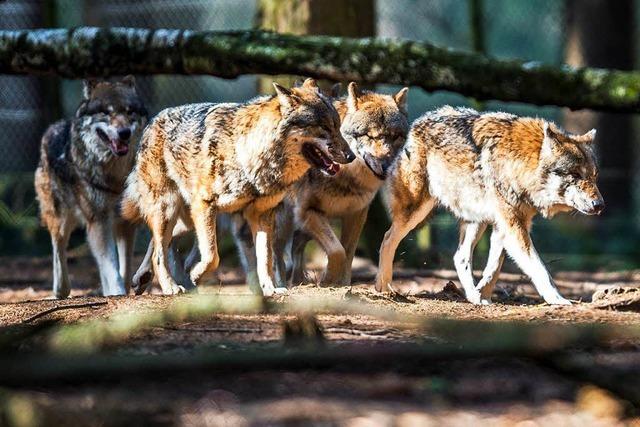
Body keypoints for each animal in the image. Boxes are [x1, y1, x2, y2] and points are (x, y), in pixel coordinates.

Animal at [122, 77, 352, 298]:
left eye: (338, 125)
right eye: (324, 127)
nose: (351, 156)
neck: (249, 154)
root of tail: (153, 121)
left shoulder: (261, 214)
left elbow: (265, 259)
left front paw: (270, 289)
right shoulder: (205, 205)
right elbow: (212, 256)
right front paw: (196, 275)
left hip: (186, 219)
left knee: (159, 242)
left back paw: (143, 277)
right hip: (170, 210)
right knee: (159, 251)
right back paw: (169, 286)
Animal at [372, 108, 604, 308]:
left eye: (594, 176)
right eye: (575, 175)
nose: (600, 205)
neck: (521, 165)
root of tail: (415, 125)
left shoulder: (507, 224)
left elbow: (494, 267)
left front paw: (482, 294)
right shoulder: (513, 223)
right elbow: (539, 267)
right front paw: (557, 299)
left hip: (476, 218)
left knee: (460, 257)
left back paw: (471, 294)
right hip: (415, 211)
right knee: (387, 239)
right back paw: (384, 287)